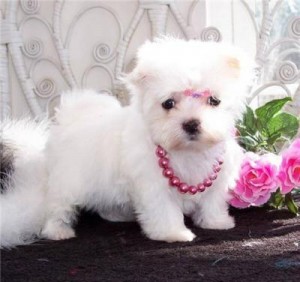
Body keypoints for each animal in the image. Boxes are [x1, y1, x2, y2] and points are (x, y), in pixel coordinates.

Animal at [1, 38, 252, 247]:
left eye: (214, 101)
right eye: (168, 103)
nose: (191, 123)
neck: (187, 151)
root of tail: (70, 116)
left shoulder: (216, 177)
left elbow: (212, 201)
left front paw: (216, 222)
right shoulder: (153, 185)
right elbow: (164, 210)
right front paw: (173, 233)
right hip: (68, 179)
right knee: (57, 205)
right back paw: (57, 231)